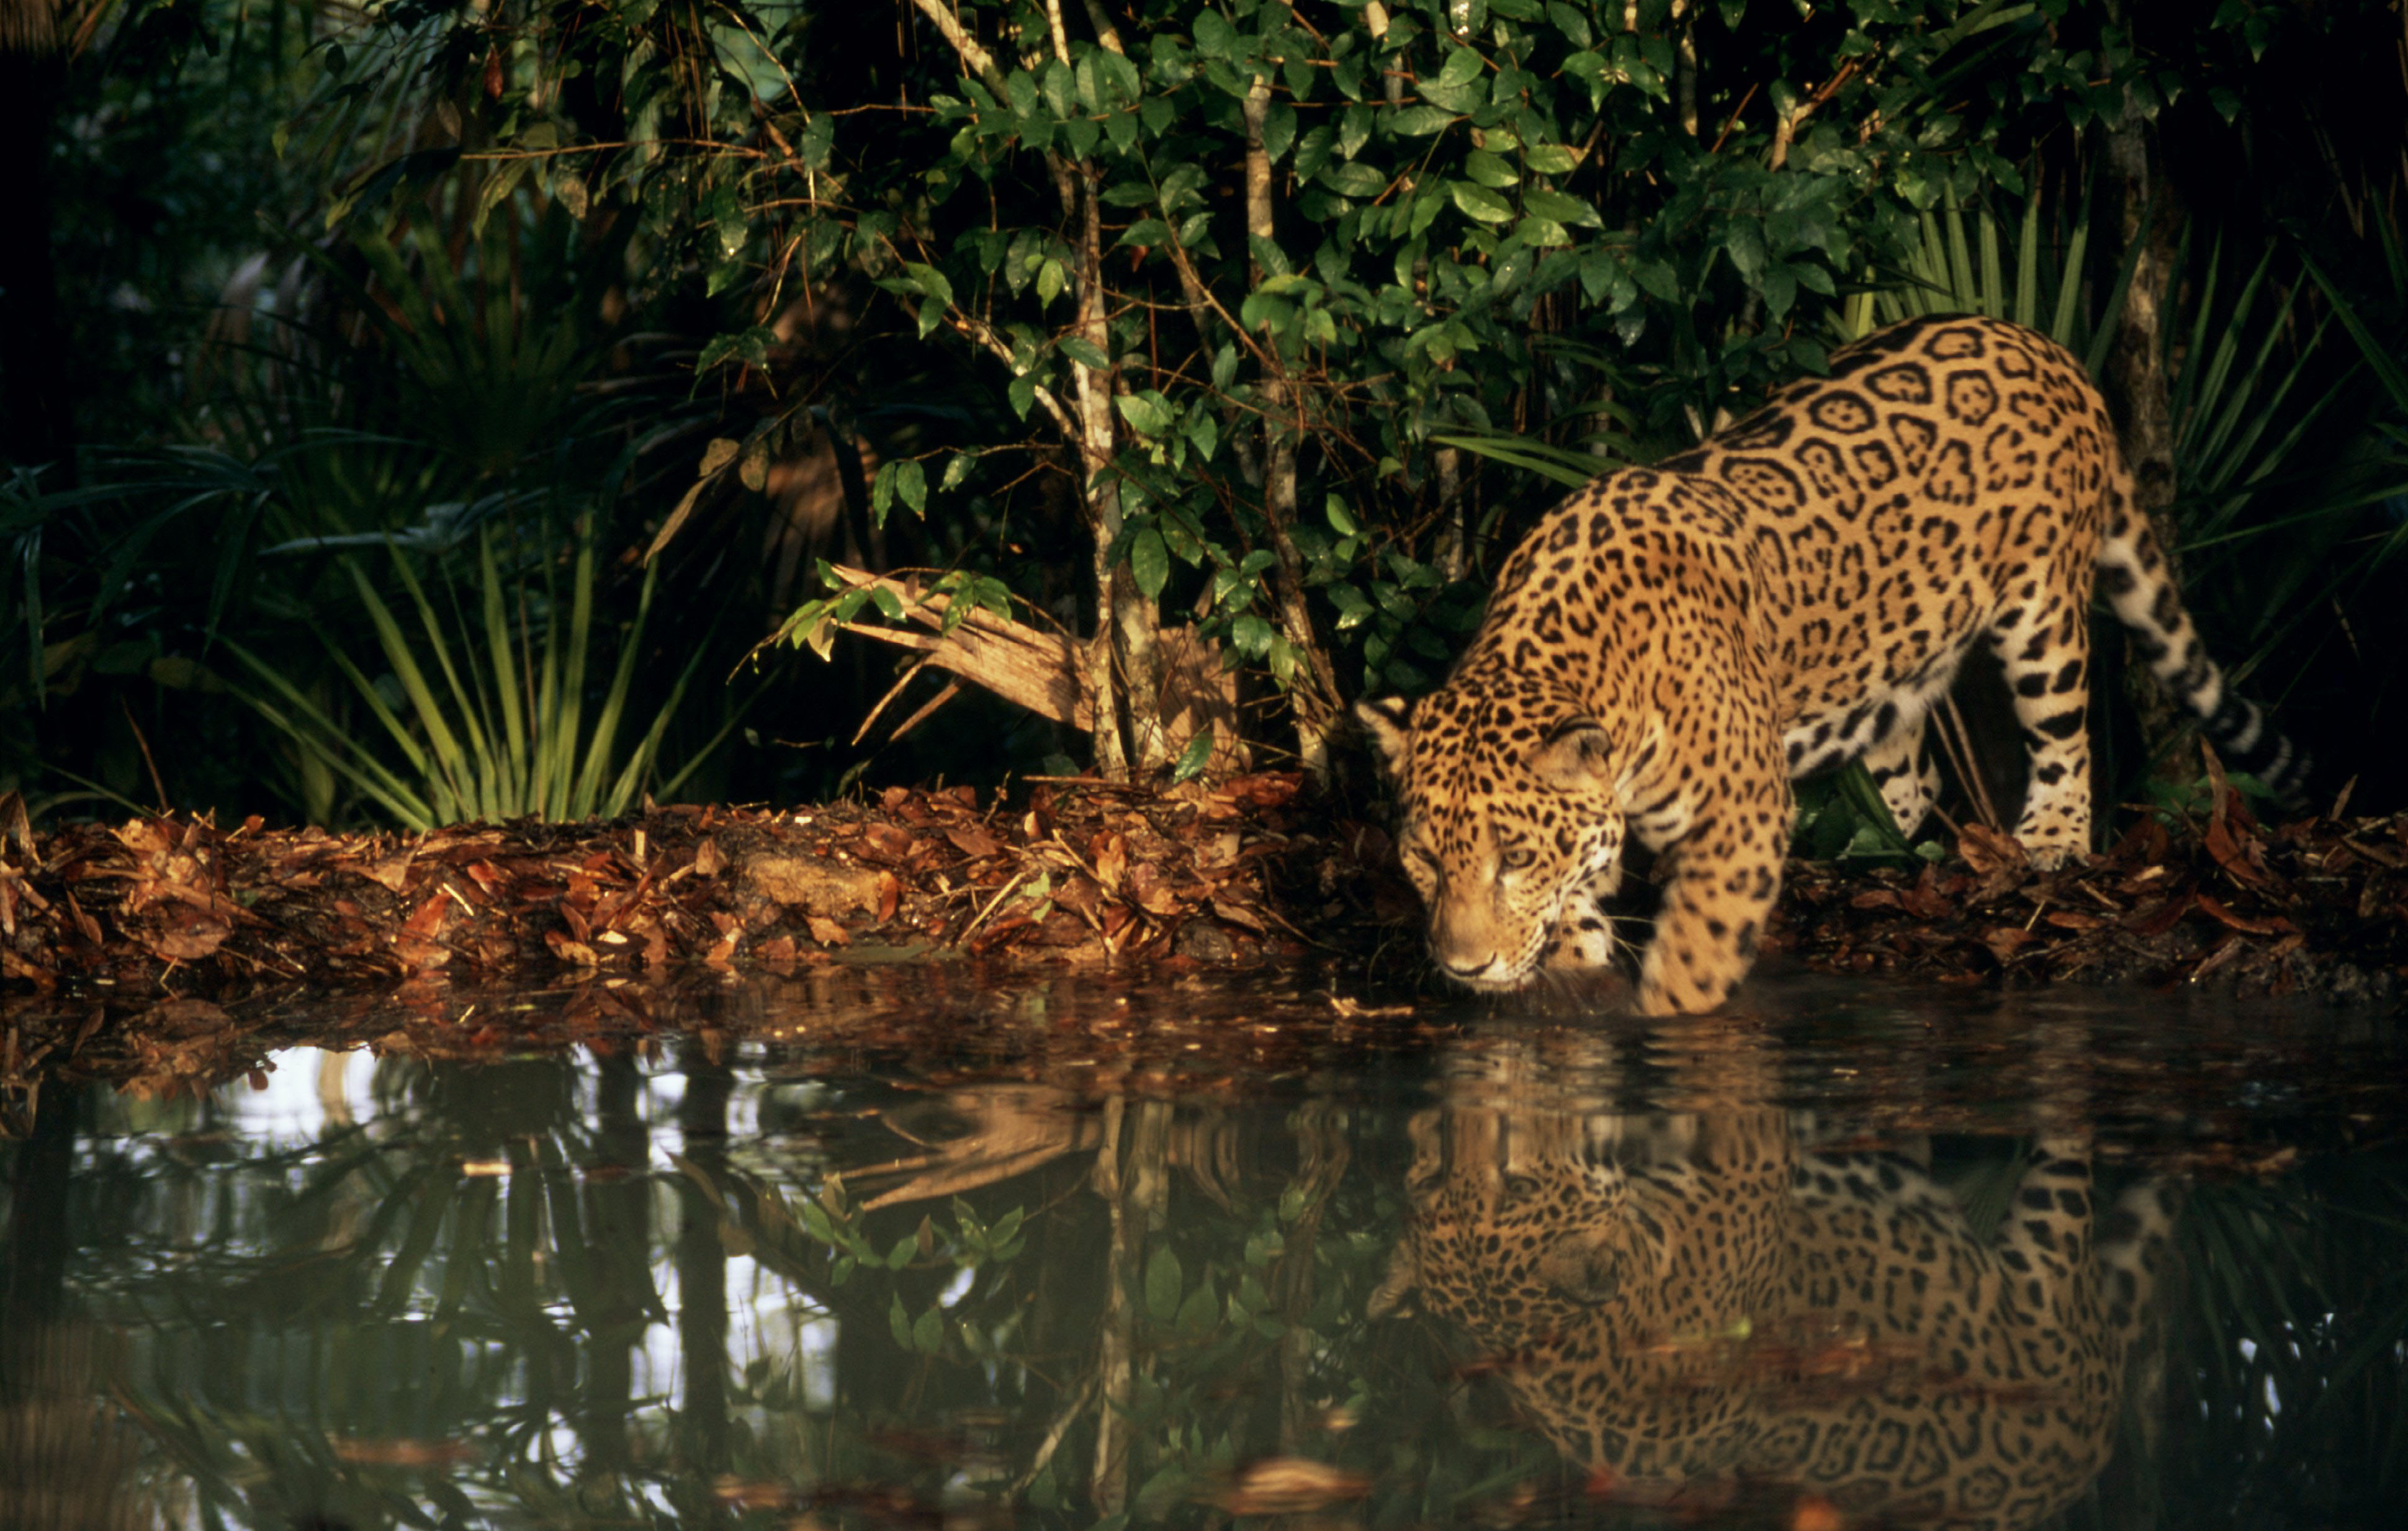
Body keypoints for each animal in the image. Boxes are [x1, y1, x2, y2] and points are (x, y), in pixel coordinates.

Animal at [1358, 313, 2305, 1014]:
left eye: (1514, 856)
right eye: (1423, 858)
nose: (1463, 967)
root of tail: (2042, 345)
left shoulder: (1741, 812)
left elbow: (1695, 952)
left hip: (2042, 612)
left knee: (2064, 733)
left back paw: (2051, 839)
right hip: (1894, 663)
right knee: (1913, 765)